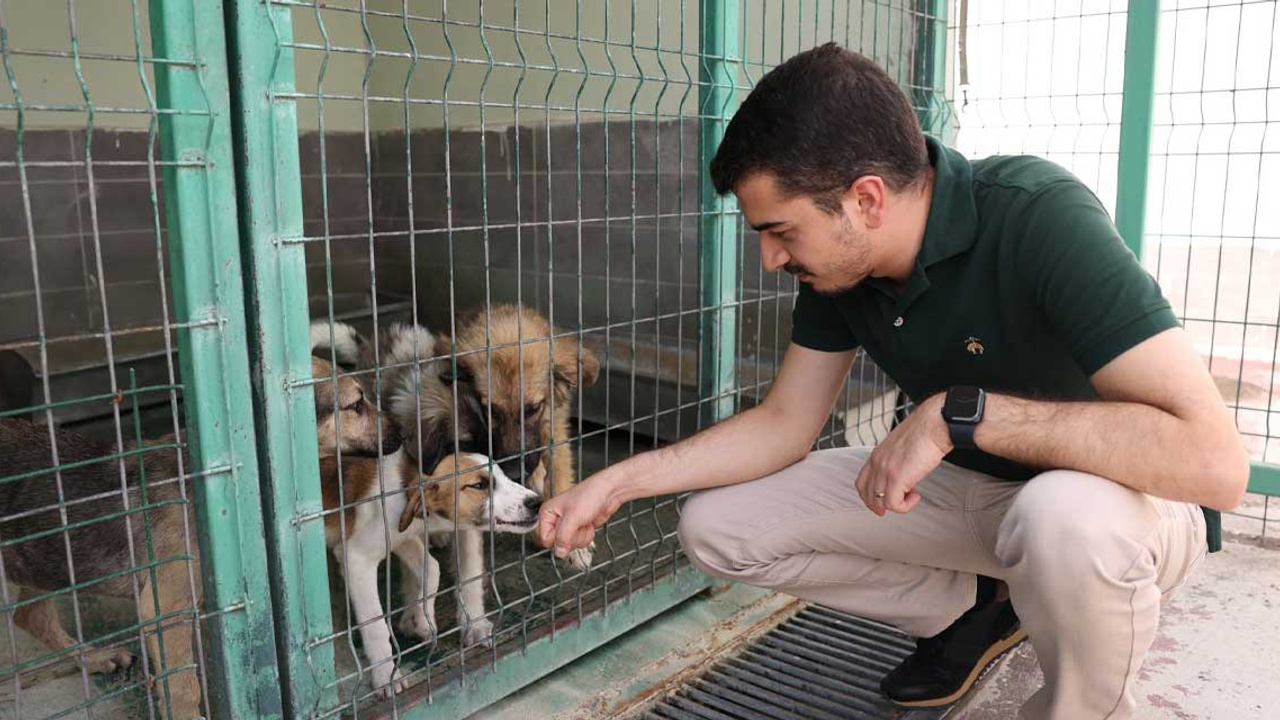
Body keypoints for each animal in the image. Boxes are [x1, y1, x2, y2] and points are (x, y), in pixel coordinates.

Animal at [0, 356, 394, 712]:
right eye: (356, 404)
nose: (401, 433)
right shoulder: (164, 608)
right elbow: (184, 687)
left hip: (43, 561)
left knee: (29, 616)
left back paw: (94, 658)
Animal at [322, 450, 542, 691]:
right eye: (479, 485)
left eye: (504, 476)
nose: (536, 502)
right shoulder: (356, 557)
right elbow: (375, 625)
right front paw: (386, 675)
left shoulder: (403, 536)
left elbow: (432, 569)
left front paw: (420, 618)